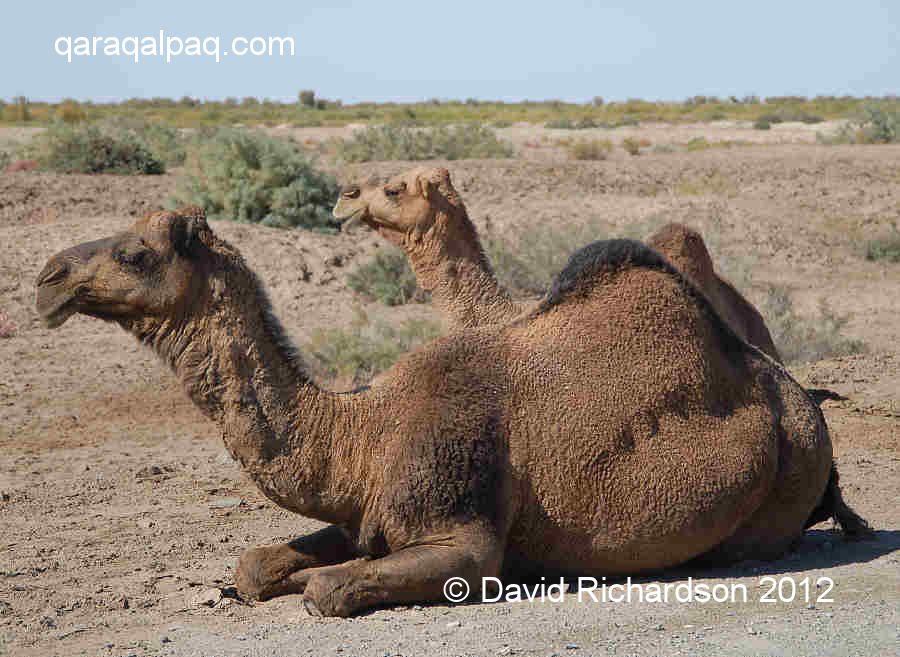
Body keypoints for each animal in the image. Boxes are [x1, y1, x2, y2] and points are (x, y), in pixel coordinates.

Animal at [37, 207, 869, 617]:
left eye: (136, 253)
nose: (48, 276)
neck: (364, 431)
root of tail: (804, 405)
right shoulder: (365, 510)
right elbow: (258, 564)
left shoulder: (464, 537)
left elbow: (328, 589)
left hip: (778, 490)